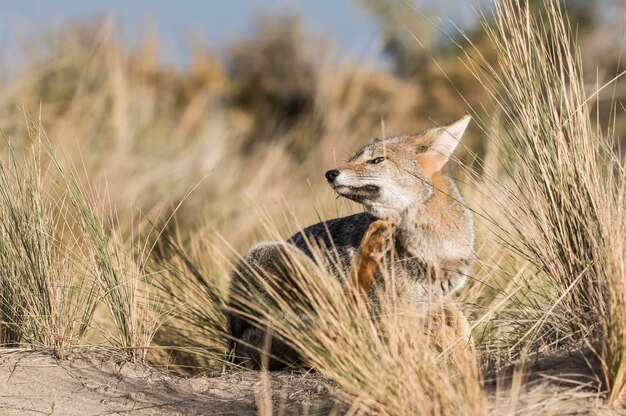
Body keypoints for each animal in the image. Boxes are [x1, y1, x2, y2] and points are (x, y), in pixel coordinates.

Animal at [227, 115, 470, 368]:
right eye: (353, 158)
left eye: (377, 160)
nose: (330, 173)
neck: (435, 252)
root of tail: (233, 345)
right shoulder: (390, 311)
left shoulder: (434, 301)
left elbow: (462, 324)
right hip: (284, 256)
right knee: (345, 315)